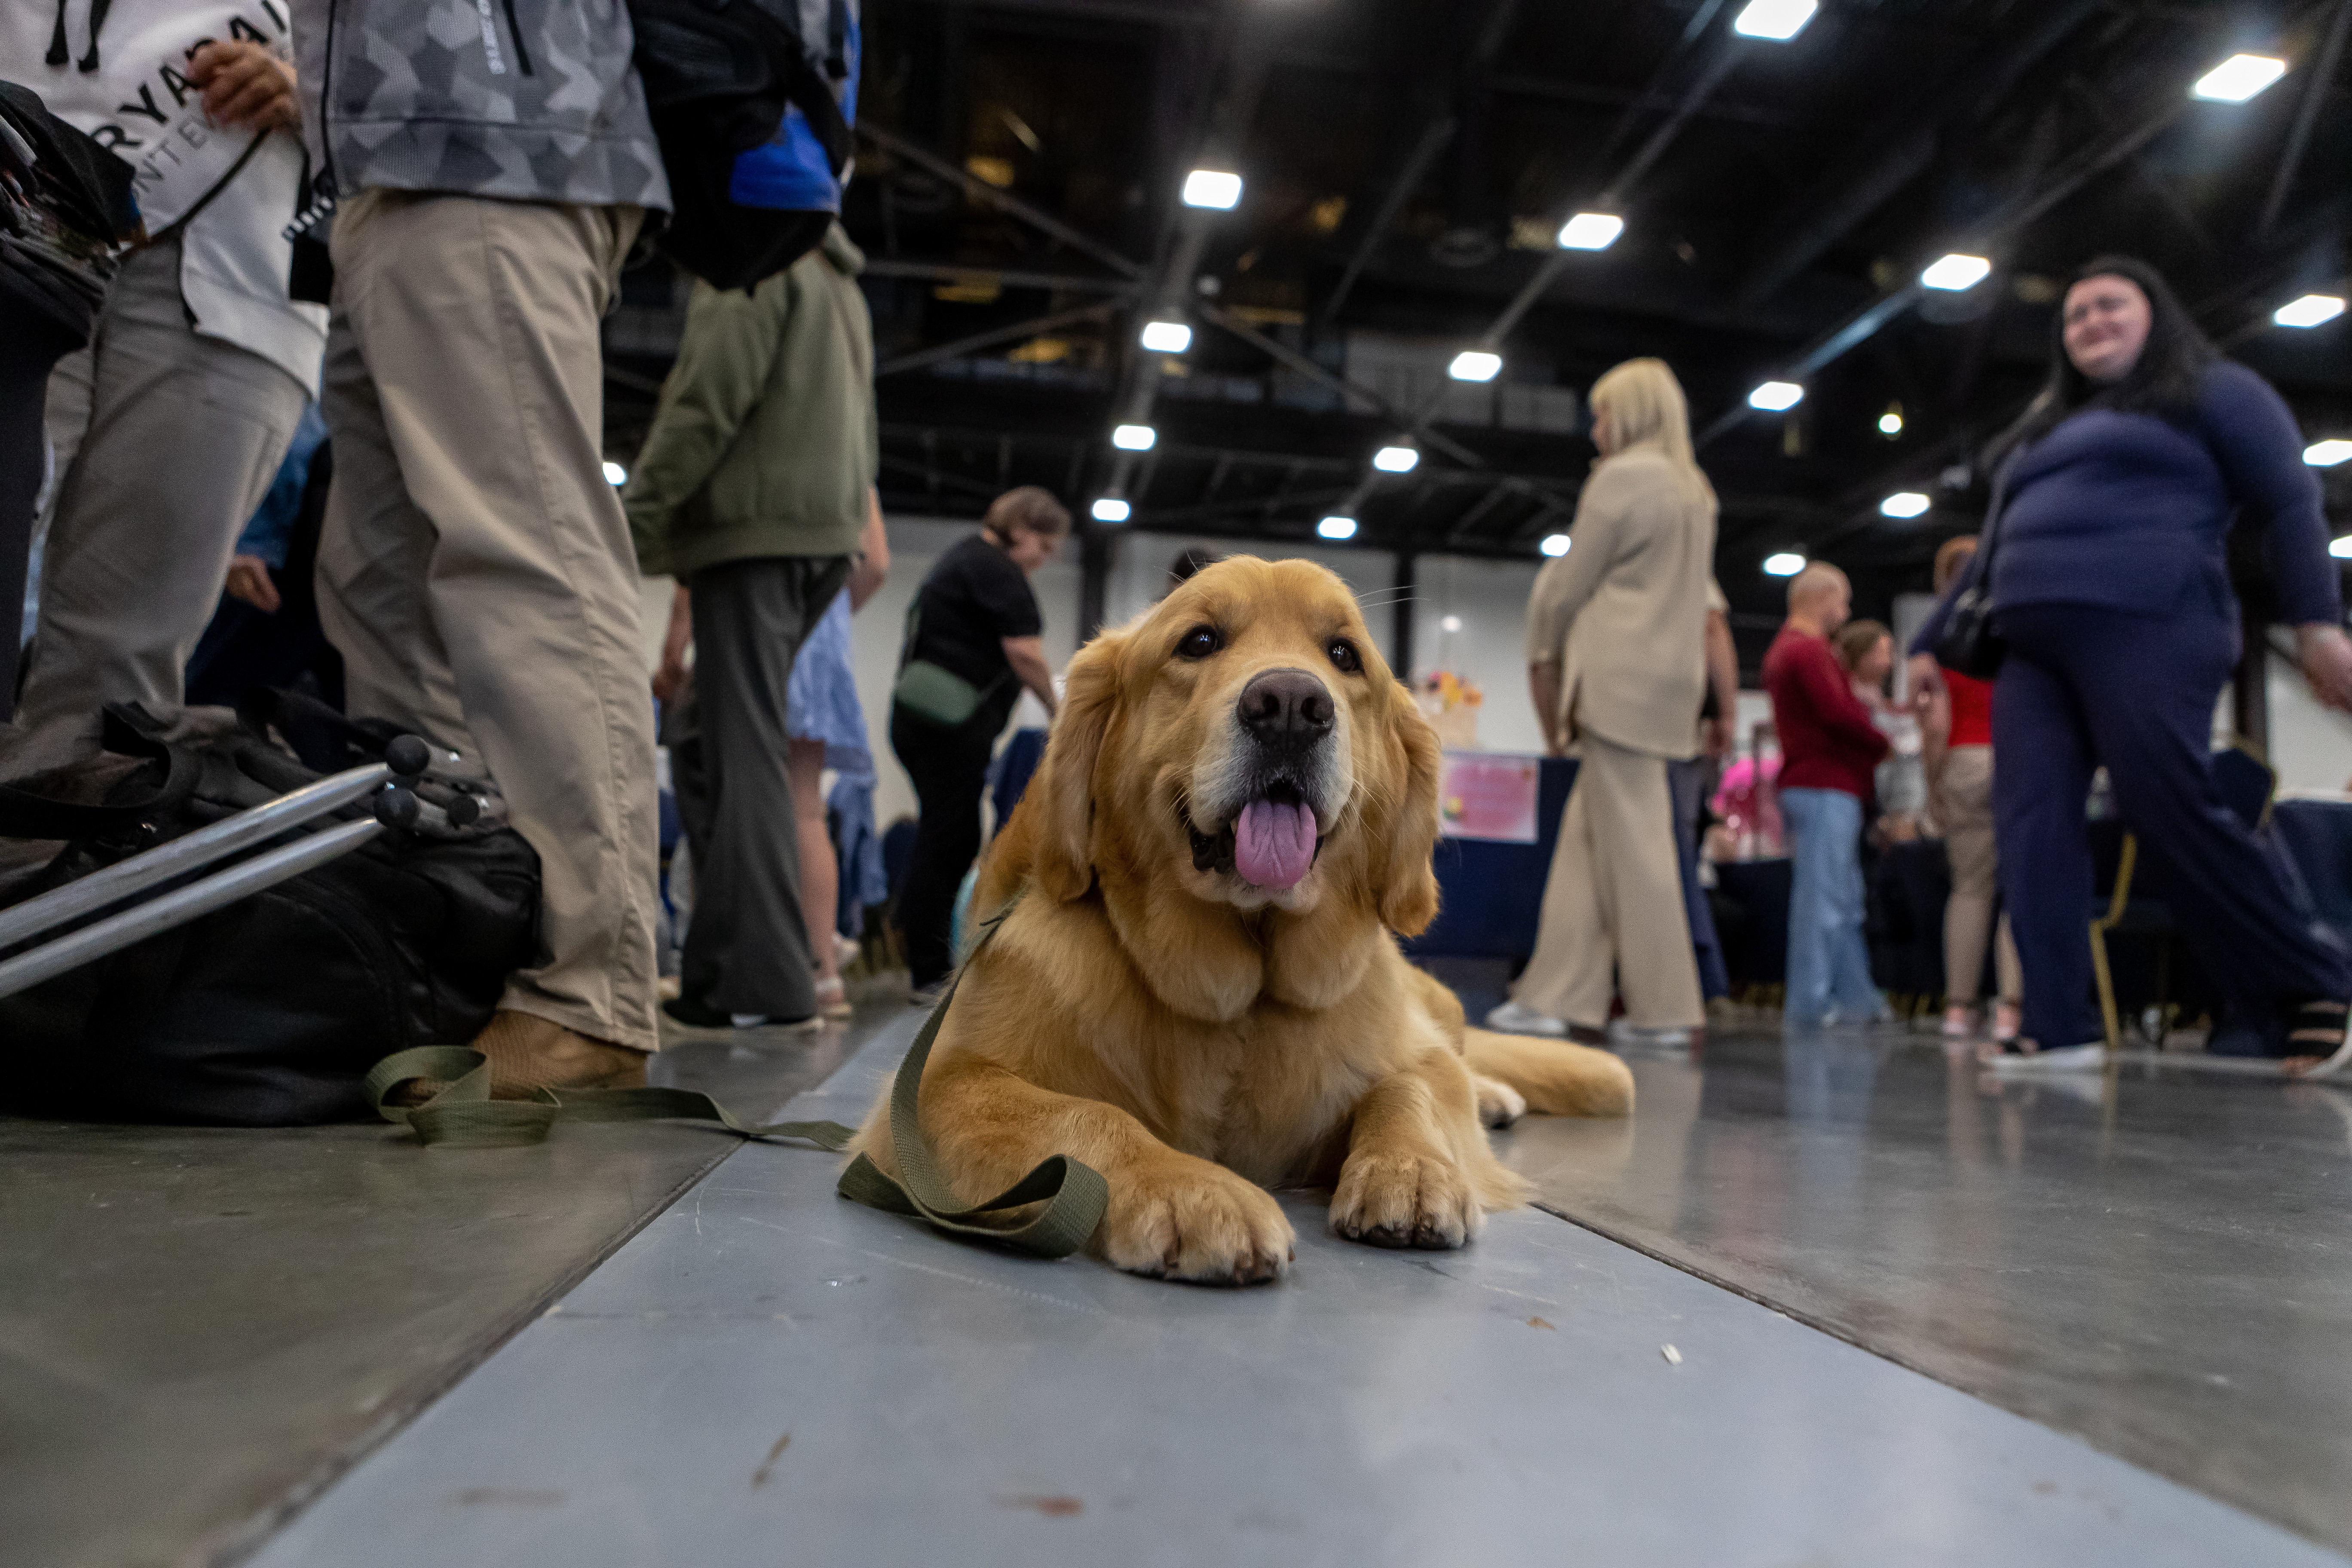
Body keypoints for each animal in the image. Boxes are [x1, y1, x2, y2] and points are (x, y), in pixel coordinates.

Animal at [846, 557, 1637, 1279]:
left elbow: (1409, 1083)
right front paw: (1191, 1188)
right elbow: (1087, 1116)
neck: (1243, 998)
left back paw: (1492, 1096)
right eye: (1198, 641)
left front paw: (1412, 1168)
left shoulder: (1402, 1054)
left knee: (1462, 1054)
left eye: (1343, 654)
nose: (1290, 704)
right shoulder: (940, 1086)